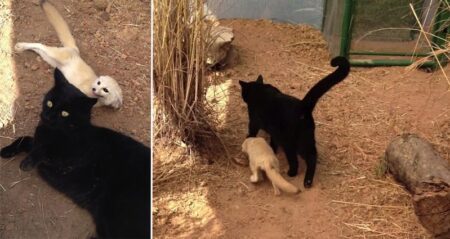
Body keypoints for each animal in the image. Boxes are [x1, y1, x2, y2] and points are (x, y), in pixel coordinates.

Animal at [0, 68, 151, 238]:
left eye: (65, 113)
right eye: (49, 103)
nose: (46, 116)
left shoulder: (63, 159)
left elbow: (44, 149)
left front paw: (27, 162)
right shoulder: (37, 141)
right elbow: (24, 139)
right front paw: (7, 150)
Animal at [239, 57, 352, 188]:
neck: (259, 90)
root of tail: (303, 105)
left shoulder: (254, 122)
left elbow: (251, 133)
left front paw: (248, 141)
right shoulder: (273, 131)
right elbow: (273, 142)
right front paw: (272, 149)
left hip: (291, 143)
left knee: (297, 160)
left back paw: (294, 174)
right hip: (306, 138)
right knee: (312, 156)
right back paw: (307, 181)